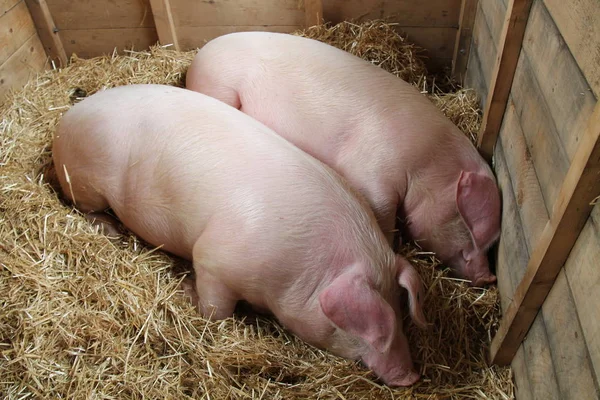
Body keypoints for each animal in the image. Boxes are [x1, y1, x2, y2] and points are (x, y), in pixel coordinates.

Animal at [51, 83, 426, 386]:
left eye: (399, 305)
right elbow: (215, 310)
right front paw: (184, 288)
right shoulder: (213, 259)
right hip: (84, 184)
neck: (302, 268)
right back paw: (111, 231)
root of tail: (66, 119)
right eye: (369, 324)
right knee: (84, 208)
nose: (410, 376)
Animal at [184, 31, 502, 288]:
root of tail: (201, 54)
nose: (489, 278)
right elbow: (382, 212)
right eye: (471, 230)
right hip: (219, 87)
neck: (426, 162)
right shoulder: (373, 173)